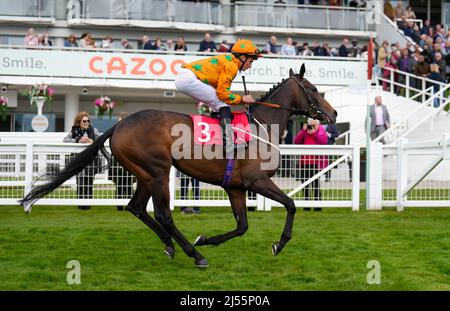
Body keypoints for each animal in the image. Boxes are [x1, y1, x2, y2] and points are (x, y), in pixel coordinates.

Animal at [21, 64, 338, 268]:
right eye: (313, 89)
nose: (333, 113)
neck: (262, 124)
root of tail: (119, 125)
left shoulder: (235, 188)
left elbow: (242, 226)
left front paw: (206, 238)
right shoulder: (256, 181)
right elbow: (291, 205)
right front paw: (278, 244)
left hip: (145, 175)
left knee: (137, 208)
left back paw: (171, 245)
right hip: (158, 173)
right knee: (163, 214)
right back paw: (193, 254)